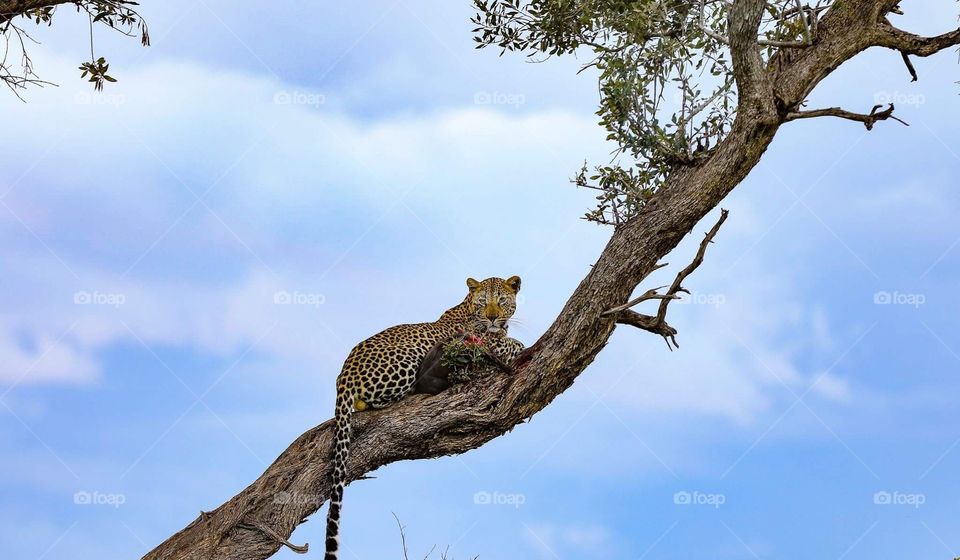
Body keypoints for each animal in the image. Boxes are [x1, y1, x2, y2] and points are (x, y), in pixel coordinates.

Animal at [324, 275, 525, 560]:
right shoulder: (487, 343)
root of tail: (343, 376)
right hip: (408, 357)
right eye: (484, 302)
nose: (493, 317)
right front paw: (514, 343)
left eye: (502, 300)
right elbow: (512, 344)